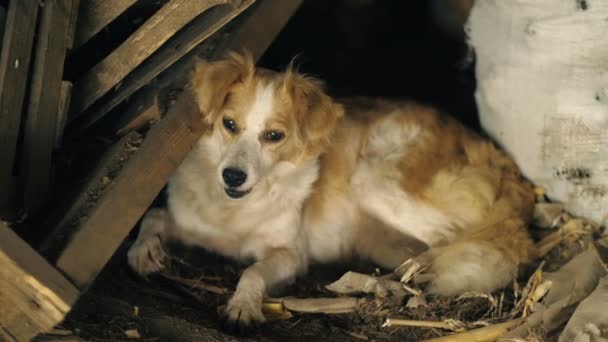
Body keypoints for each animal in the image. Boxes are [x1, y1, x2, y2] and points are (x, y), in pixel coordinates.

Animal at [126, 52, 536, 332]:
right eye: (229, 124)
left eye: (273, 135)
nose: (232, 176)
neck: (234, 208)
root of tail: (496, 155)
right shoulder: (190, 221)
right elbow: (153, 216)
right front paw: (144, 251)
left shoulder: (291, 255)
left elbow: (254, 272)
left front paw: (243, 305)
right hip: (380, 235)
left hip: (375, 180)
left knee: (446, 239)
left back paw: (400, 282)